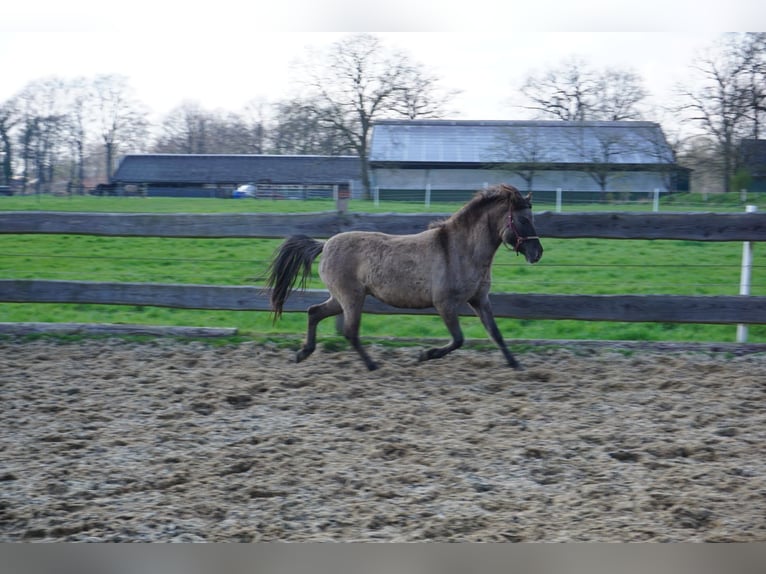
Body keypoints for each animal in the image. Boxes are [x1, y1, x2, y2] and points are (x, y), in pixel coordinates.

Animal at [268, 184, 544, 374]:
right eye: (523, 219)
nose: (537, 253)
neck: (461, 250)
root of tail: (324, 245)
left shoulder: (479, 300)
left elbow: (495, 333)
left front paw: (515, 364)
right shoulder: (445, 304)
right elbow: (458, 339)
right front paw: (425, 354)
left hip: (340, 298)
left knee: (314, 312)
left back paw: (303, 353)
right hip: (351, 298)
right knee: (350, 331)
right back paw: (373, 366)